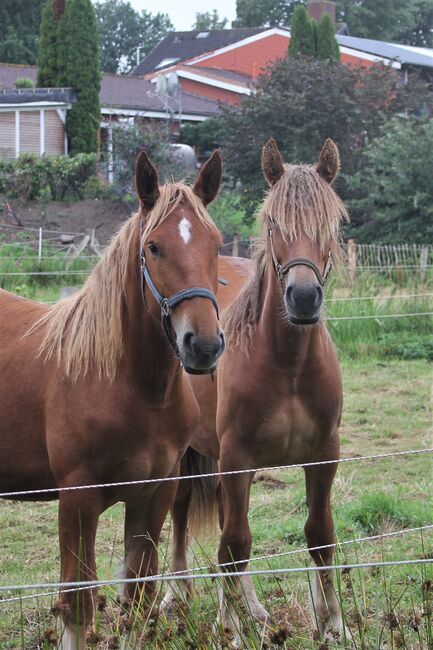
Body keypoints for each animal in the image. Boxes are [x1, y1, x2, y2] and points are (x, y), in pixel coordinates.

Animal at [0, 151, 226, 644]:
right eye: (154, 247)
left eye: (217, 244)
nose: (202, 346)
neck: (134, 390)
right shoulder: (77, 500)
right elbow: (78, 602)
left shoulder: (153, 496)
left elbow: (137, 597)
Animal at [164, 138, 350, 644]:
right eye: (272, 223)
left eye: (331, 223)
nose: (303, 298)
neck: (288, 366)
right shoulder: (237, 458)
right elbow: (234, 545)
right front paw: (229, 630)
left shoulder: (323, 456)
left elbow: (320, 535)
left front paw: (333, 624)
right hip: (189, 455)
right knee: (182, 512)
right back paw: (176, 594)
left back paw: (253, 608)